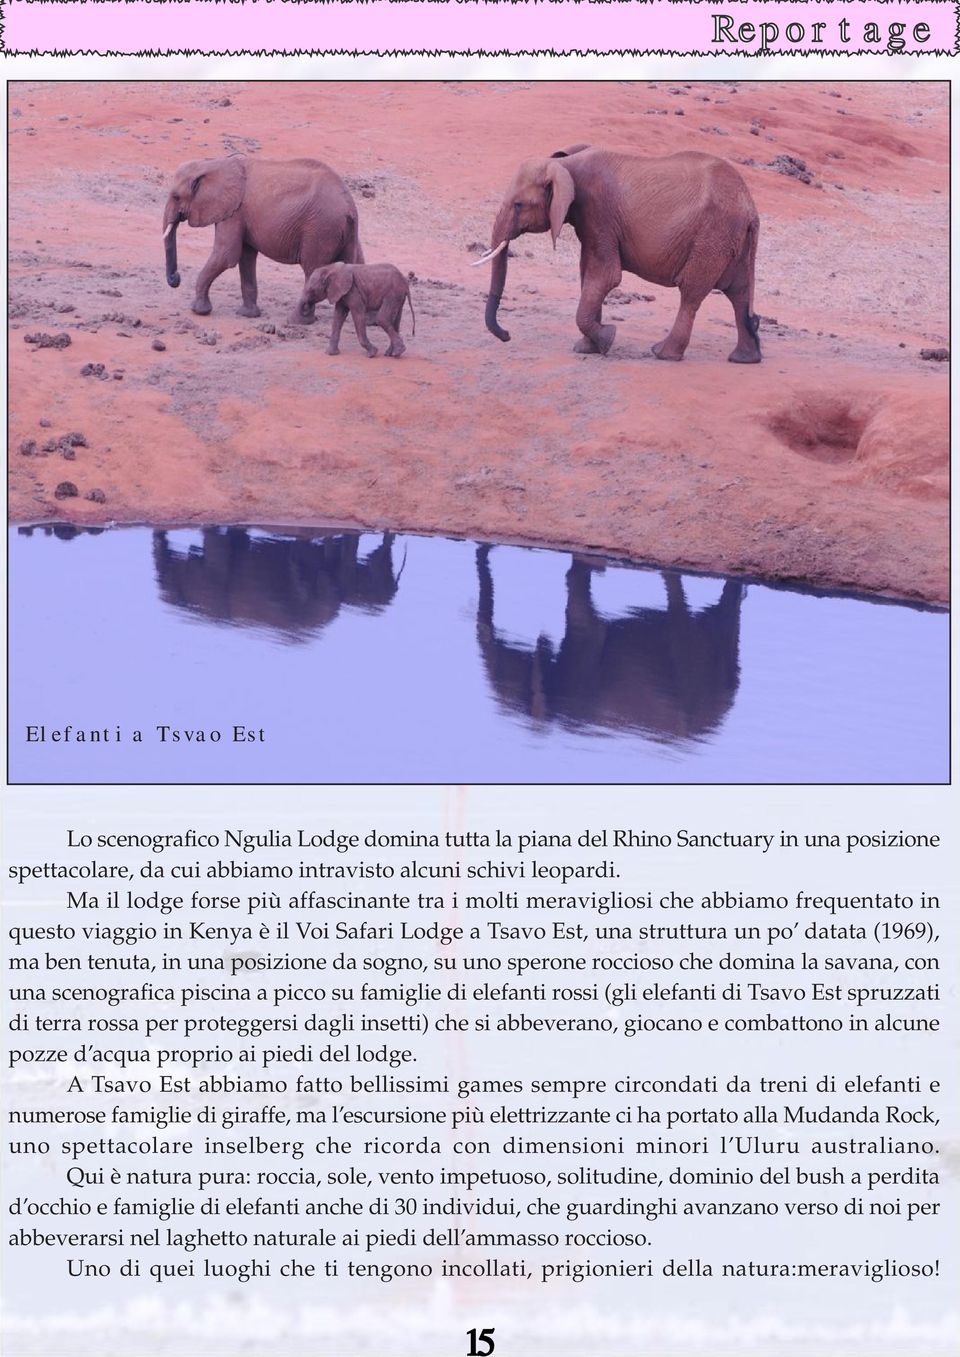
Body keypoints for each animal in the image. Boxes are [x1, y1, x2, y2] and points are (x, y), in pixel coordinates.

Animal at [161, 156, 363, 317]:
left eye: (176, 196)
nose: (176, 278)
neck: (213, 163)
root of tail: (349, 206)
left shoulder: (234, 212)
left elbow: (226, 256)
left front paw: (198, 311)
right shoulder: (242, 215)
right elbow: (246, 256)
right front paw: (248, 315)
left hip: (320, 229)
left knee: (312, 269)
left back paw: (298, 321)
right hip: (344, 231)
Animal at [483, 145, 760, 363]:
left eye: (519, 205)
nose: (507, 335)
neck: (563, 164)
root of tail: (751, 208)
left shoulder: (598, 213)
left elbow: (606, 276)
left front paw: (607, 339)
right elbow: (588, 274)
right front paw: (589, 348)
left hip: (712, 235)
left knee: (691, 292)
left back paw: (663, 354)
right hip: (731, 240)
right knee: (739, 292)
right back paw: (744, 359)